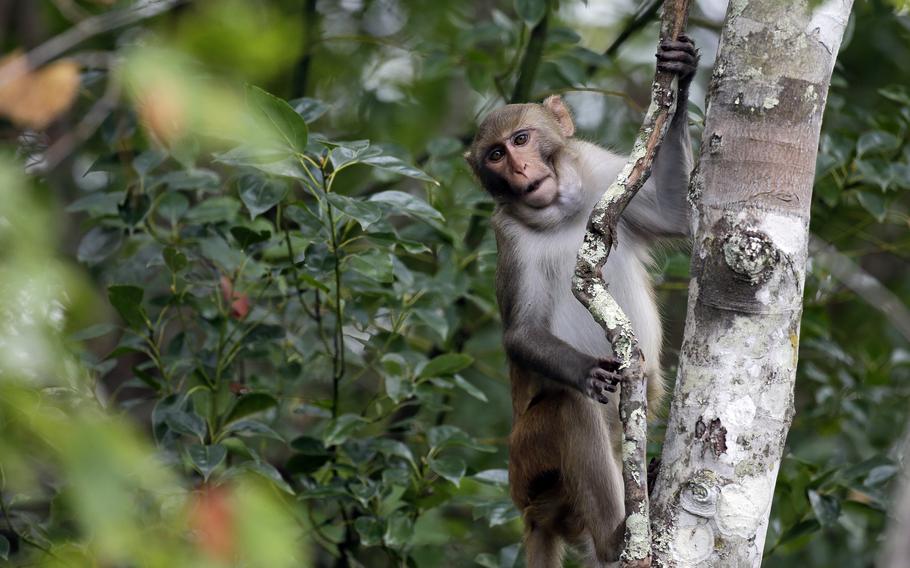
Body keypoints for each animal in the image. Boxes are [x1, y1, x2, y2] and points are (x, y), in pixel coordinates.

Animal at [466, 36, 700, 568]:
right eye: (495, 154)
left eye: (522, 139)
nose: (519, 169)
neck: (561, 211)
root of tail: (531, 511)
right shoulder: (508, 236)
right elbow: (522, 332)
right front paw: (585, 371)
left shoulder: (601, 170)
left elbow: (677, 215)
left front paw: (680, 78)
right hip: (529, 463)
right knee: (570, 410)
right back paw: (616, 536)